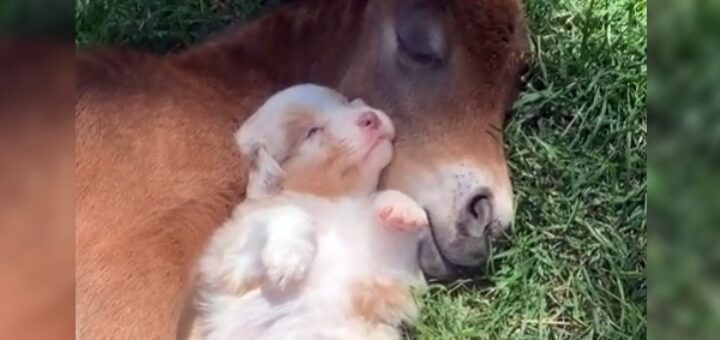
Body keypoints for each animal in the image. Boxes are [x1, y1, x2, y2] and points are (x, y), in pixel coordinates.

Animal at [191, 83, 428, 338]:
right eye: (312, 132)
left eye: (345, 102)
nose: (370, 118)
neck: (334, 202)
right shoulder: (230, 262)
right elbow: (288, 213)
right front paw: (288, 257)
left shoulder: (389, 270)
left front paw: (404, 208)